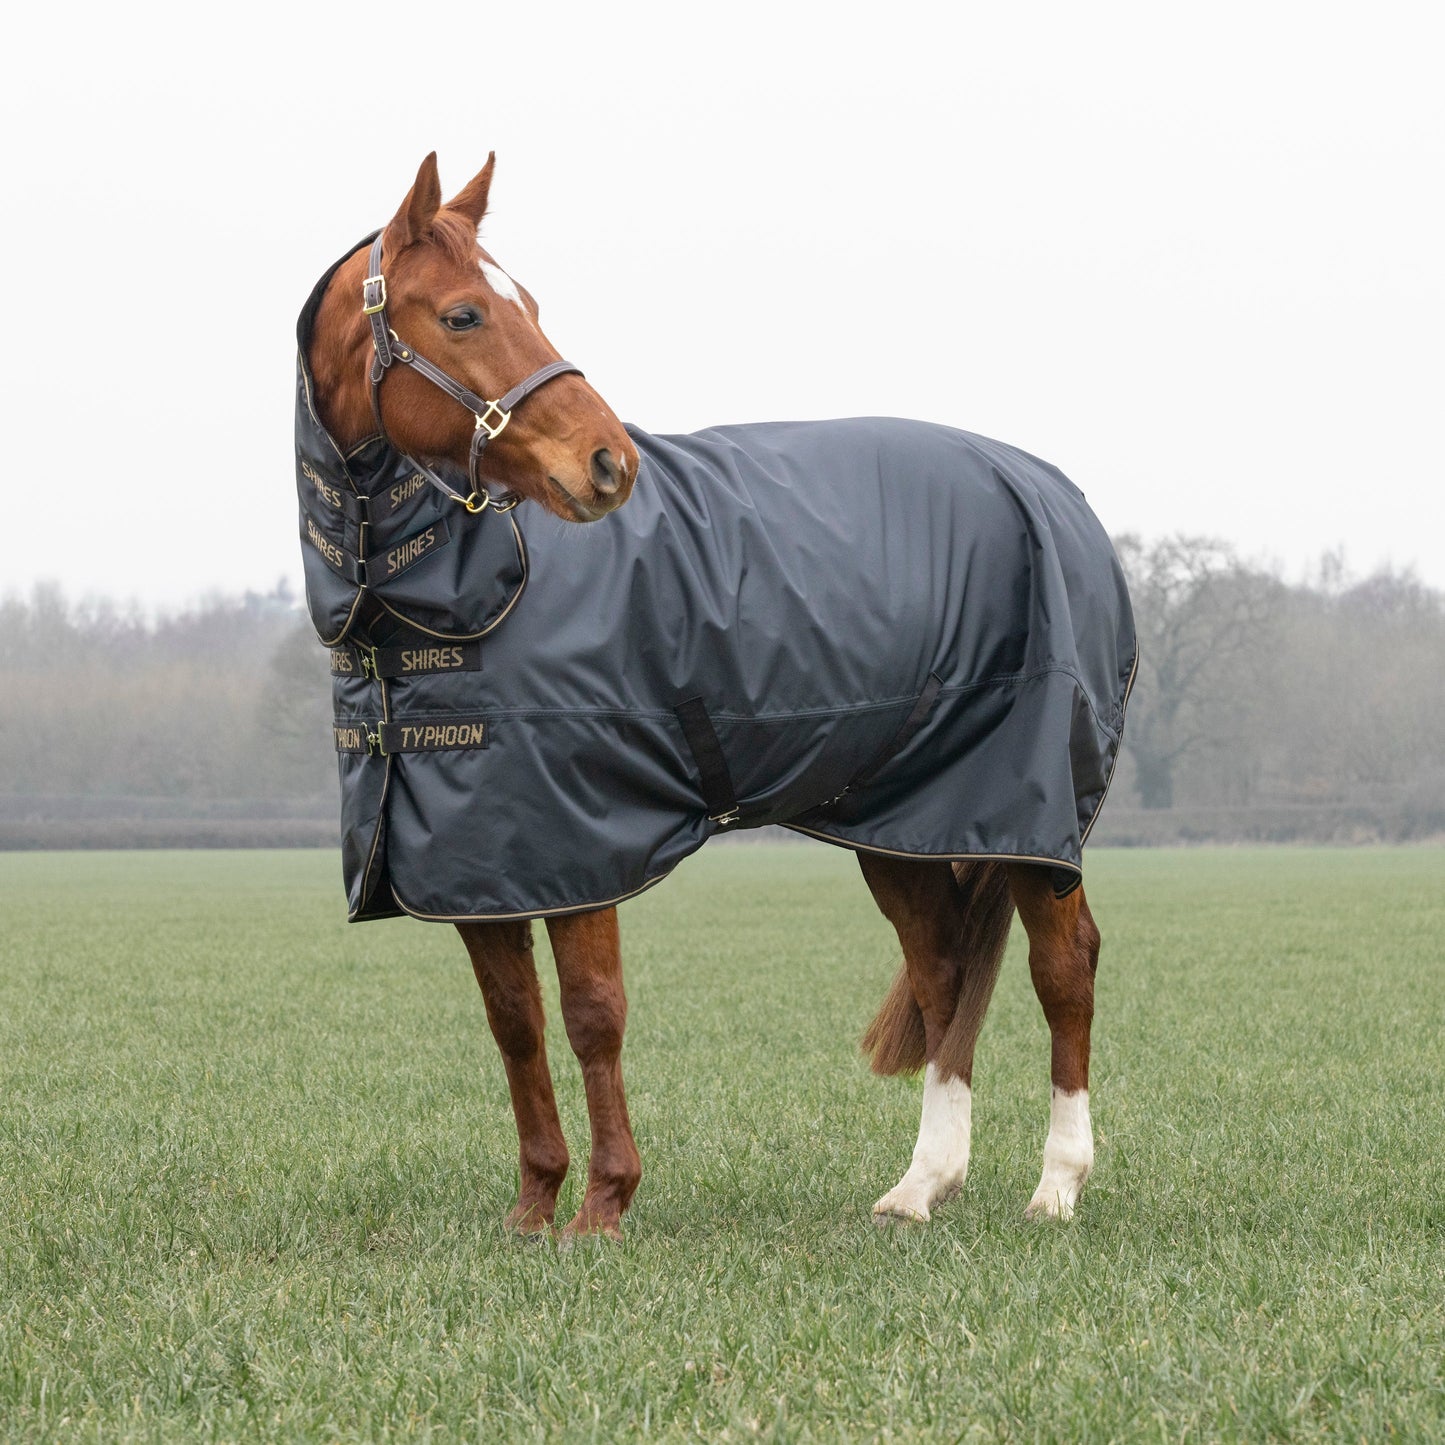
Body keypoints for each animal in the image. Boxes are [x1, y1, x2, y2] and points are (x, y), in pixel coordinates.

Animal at [298, 152, 1134, 1241]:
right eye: (464, 314)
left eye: (527, 304)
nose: (608, 463)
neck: (459, 595)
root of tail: (1054, 493)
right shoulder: (482, 864)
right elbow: (515, 1026)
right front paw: (533, 1207)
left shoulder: (579, 846)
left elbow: (592, 1014)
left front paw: (602, 1206)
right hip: (905, 822)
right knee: (946, 968)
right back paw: (921, 1185)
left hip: (1033, 817)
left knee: (1063, 965)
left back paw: (1056, 1184)